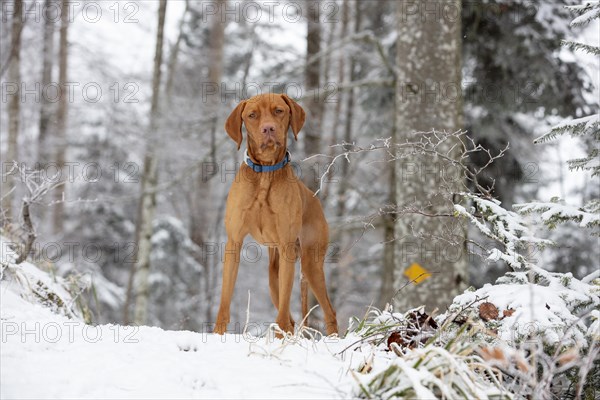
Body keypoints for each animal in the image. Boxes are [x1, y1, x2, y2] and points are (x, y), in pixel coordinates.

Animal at [214, 94, 338, 334]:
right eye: (252, 115)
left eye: (279, 111)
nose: (268, 128)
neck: (265, 174)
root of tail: (315, 200)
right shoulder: (234, 242)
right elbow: (224, 300)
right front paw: (217, 334)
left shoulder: (287, 246)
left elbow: (283, 313)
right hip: (273, 276)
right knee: (291, 316)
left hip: (310, 263)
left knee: (328, 312)